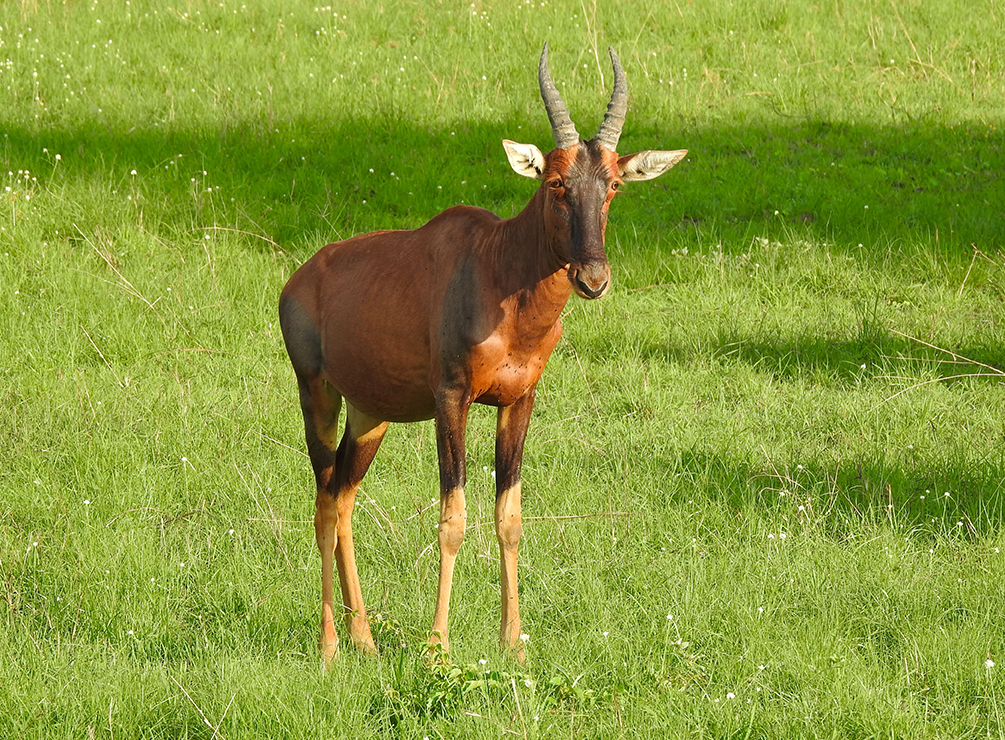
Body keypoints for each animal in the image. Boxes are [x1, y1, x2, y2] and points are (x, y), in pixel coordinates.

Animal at [279, 43, 687, 663]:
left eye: (614, 183)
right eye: (555, 182)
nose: (593, 278)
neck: (498, 267)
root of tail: (299, 280)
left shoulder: (519, 401)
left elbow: (509, 517)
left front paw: (513, 643)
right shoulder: (452, 399)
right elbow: (453, 517)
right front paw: (438, 646)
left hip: (372, 414)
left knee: (345, 497)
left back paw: (364, 639)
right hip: (317, 396)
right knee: (324, 500)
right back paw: (328, 646)